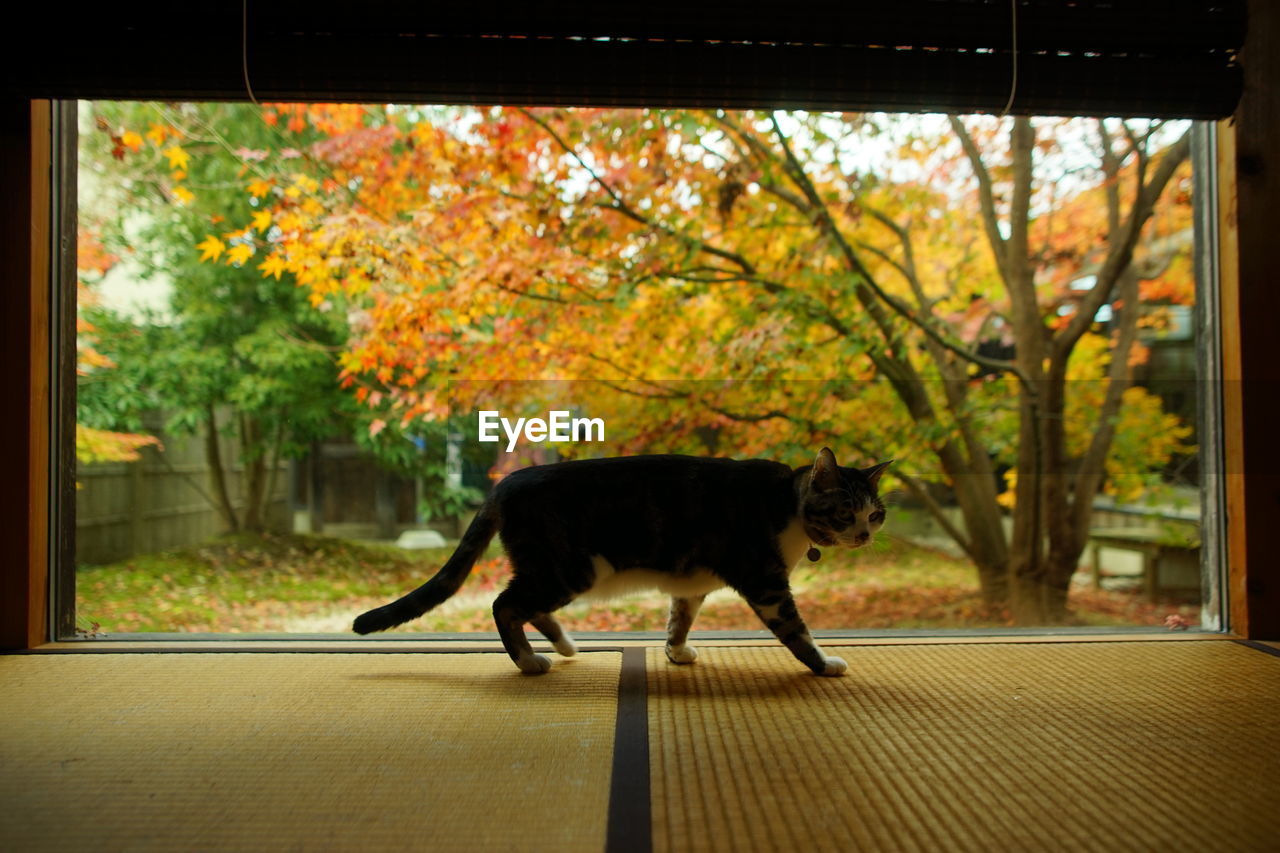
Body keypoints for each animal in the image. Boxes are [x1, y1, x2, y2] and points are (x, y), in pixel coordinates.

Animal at [350, 448, 890, 676]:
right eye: (846, 511)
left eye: (876, 513)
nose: (865, 533)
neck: (789, 508)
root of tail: (506, 482)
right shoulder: (767, 583)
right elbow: (797, 631)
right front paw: (824, 664)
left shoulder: (691, 584)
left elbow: (679, 619)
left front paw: (675, 653)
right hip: (571, 567)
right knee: (504, 605)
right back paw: (530, 662)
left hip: (552, 568)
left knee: (524, 604)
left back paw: (564, 645)